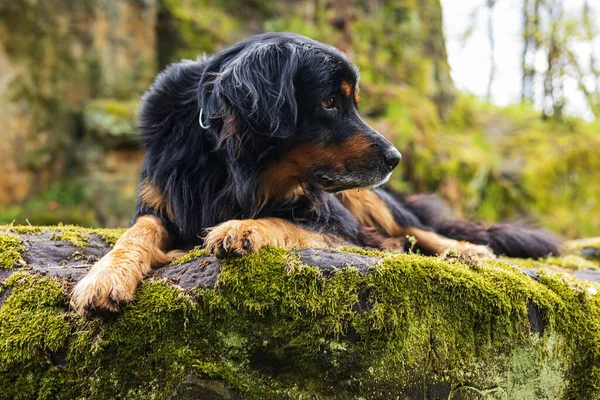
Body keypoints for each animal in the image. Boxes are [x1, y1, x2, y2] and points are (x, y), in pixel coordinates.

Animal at [71, 32, 564, 314]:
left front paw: (242, 229)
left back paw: (468, 249)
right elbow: (134, 234)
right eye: (329, 101)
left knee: (417, 230)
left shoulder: (334, 221)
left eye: (354, 102)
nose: (396, 158)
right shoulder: (158, 202)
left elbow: (282, 222)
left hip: (368, 197)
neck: (230, 165)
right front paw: (105, 277)